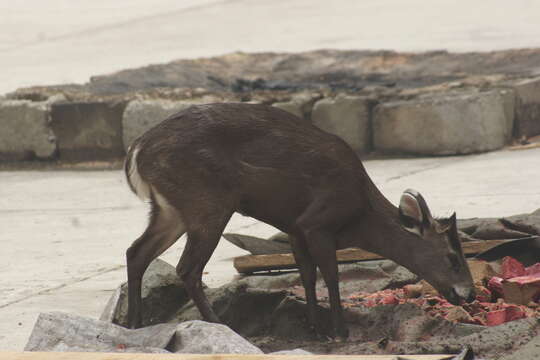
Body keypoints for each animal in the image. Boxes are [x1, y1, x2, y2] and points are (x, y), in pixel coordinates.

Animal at [124, 102, 474, 338]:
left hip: (170, 210)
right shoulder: (317, 222)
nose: (470, 293)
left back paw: (133, 322)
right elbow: (330, 274)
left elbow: (306, 273)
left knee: (136, 251)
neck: (359, 216)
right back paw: (219, 324)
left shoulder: (294, 227)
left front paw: (314, 327)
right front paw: (339, 331)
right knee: (187, 267)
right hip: (207, 202)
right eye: (453, 258)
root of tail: (137, 150)